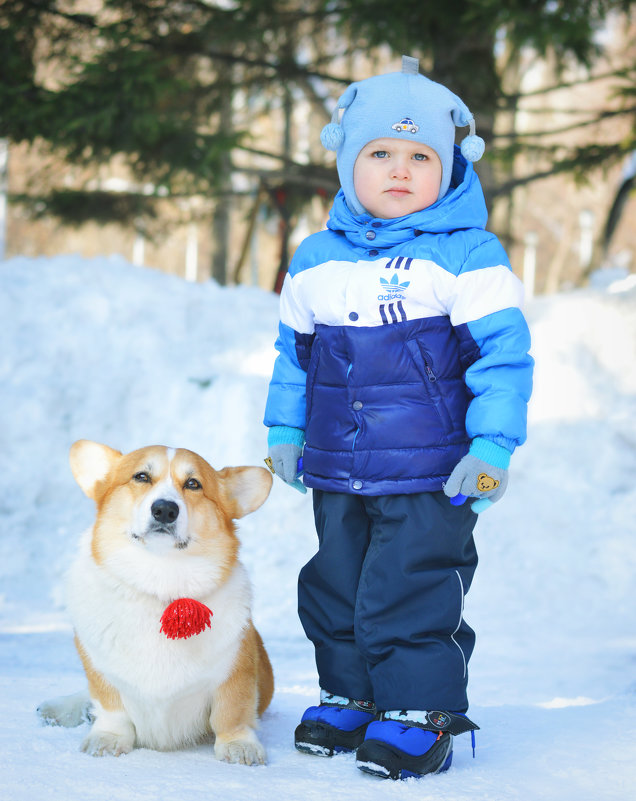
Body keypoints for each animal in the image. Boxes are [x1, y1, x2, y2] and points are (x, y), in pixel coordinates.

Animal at [39, 440, 274, 764]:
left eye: (193, 483)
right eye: (141, 477)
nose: (165, 509)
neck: (160, 578)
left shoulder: (236, 667)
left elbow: (232, 712)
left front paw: (239, 745)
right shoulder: (101, 672)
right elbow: (109, 707)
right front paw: (108, 738)